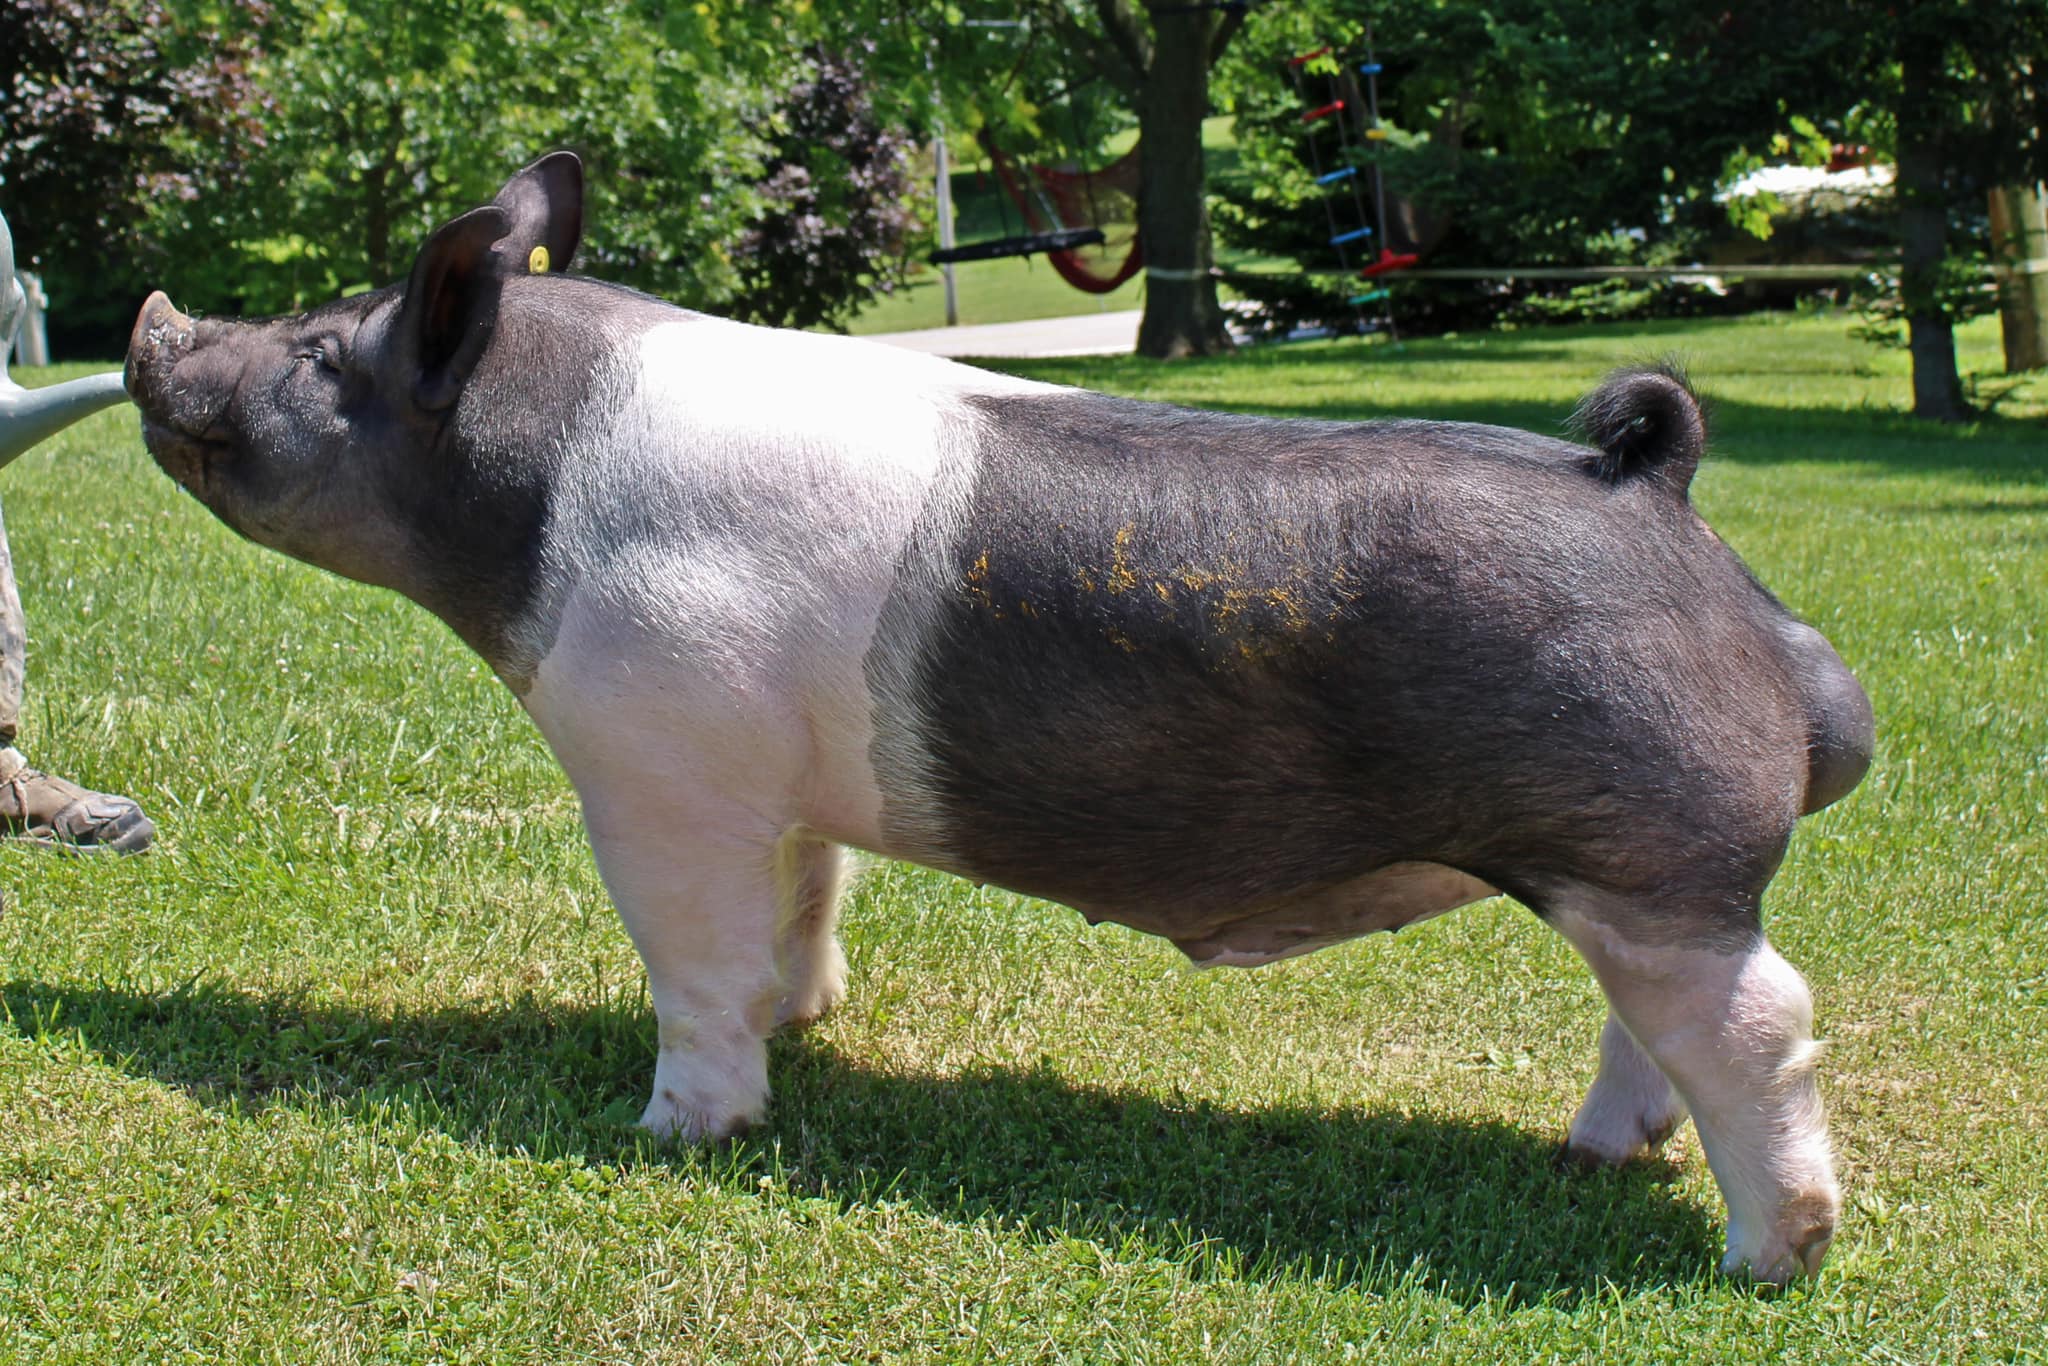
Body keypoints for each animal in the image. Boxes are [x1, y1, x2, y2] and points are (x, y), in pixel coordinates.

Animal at [126, 153, 1872, 1283]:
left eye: (315, 348)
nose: (151, 318)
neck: (540, 497)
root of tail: (1657, 494)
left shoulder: (655, 762)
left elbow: (693, 962)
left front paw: (679, 1129)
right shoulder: (775, 781)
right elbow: (805, 901)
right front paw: (809, 1024)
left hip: (1657, 851)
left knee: (1764, 1021)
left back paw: (1762, 1258)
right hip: (1626, 872)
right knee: (1652, 1025)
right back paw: (1597, 1154)